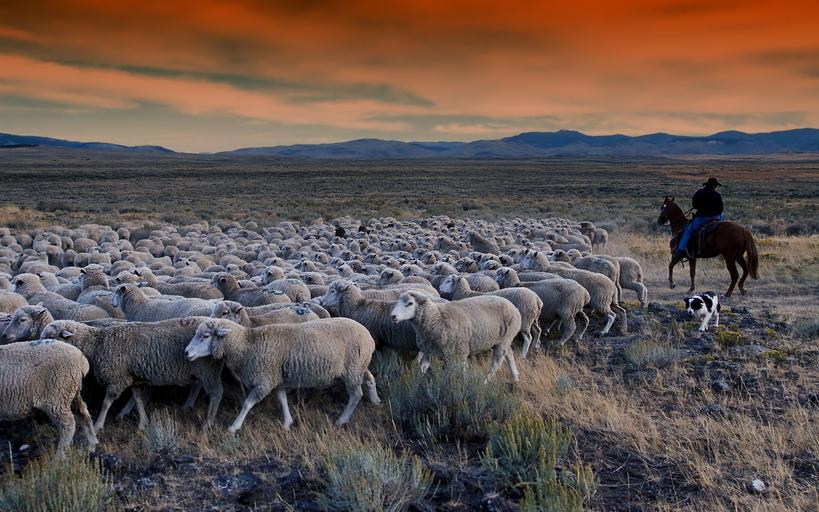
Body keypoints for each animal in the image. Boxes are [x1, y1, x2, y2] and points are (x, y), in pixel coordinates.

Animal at [40, 317, 223, 432]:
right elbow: (138, 399)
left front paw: (98, 425)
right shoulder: (132, 377)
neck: (97, 343)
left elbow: (106, 403)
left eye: (50, 336)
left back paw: (208, 422)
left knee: (216, 394)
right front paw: (143, 422)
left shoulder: (117, 378)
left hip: (208, 370)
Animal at [184, 318, 379, 432]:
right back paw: (376, 401)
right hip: (359, 366)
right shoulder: (277, 379)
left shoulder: (264, 380)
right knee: (370, 379)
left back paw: (341, 420)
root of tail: (369, 336)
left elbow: (247, 404)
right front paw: (287, 423)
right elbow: (282, 399)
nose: (186, 352)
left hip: (353, 369)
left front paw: (234, 427)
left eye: (206, 336)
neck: (247, 344)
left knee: (356, 395)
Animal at [390, 291, 521, 381]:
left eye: (410, 303)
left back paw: (486, 381)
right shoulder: (428, 351)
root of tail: (513, 306)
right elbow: (423, 368)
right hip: (502, 340)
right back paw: (515, 376)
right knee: (509, 354)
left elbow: (460, 371)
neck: (436, 318)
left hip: (504, 339)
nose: (392, 316)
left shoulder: (459, 352)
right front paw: (419, 383)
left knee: (496, 363)